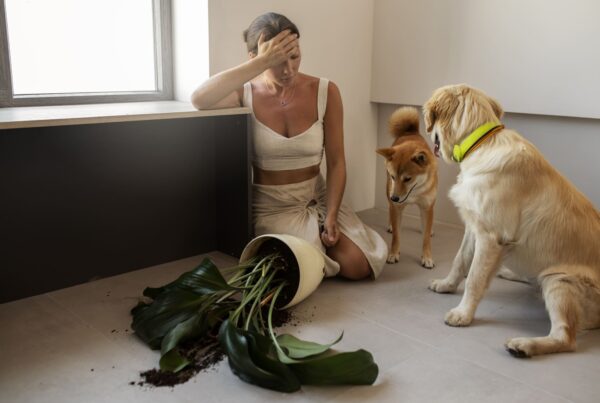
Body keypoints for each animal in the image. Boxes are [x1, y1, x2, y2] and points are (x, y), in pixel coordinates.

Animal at [378, 107, 438, 268]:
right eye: (393, 176)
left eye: (407, 179)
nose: (395, 197)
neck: (415, 193)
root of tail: (410, 132)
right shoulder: (396, 206)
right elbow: (397, 236)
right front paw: (393, 254)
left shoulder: (427, 206)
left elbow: (426, 238)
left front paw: (427, 257)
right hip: (388, 193)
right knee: (390, 211)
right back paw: (391, 225)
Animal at [422, 84, 600, 356]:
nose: (426, 130)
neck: (482, 144)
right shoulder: (474, 226)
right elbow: (460, 261)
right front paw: (447, 285)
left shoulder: (491, 237)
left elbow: (475, 278)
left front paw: (463, 315)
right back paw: (507, 272)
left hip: (560, 280)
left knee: (565, 338)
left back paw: (523, 345)